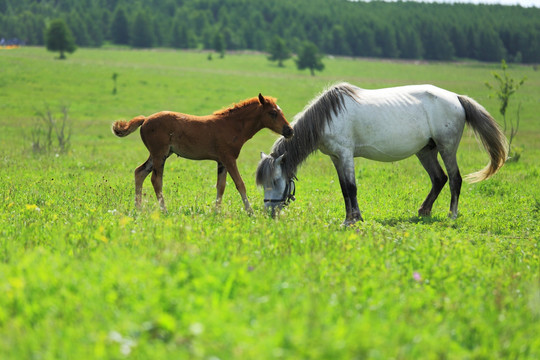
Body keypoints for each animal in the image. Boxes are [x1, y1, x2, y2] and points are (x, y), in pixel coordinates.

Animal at [111, 93, 294, 214]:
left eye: (281, 111)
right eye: (273, 113)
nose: (289, 130)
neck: (232, 125)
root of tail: (145, 120)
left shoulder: (221, 161)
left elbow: (221, 186)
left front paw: (217, 212)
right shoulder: (229, 158)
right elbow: (240, 184)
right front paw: (250, 212)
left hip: (161, 154)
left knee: (139, 172)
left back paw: (138, 208)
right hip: (159, 154)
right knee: (155, 179)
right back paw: (164, 210)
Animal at [255, 83, 508, 225]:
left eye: (275, 180)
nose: (268, 211)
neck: (327, 117)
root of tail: (456, 97)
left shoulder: (345, 155)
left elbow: (351, 188)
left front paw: (354, 219)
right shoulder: (336, 158)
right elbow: (344, 189)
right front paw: (349, 217)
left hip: (447, 148)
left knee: (455, 179)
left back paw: (452, 215)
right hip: (426, 151)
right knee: (439, 178)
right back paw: (423, 211)